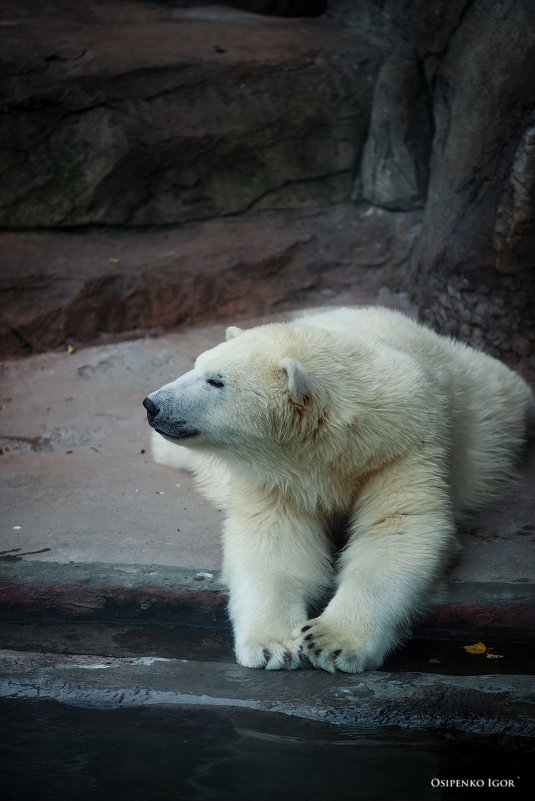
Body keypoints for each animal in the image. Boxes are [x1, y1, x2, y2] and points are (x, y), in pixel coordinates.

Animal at [143, 310, 535, 672]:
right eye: (197, 364)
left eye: (216, 380)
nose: (153, 404)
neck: (336, 443)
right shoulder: (274, 476)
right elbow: (274, 540)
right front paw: (274, 645)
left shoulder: (403, 447)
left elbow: (399, 528)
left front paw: (331, 641)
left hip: (486, 400)